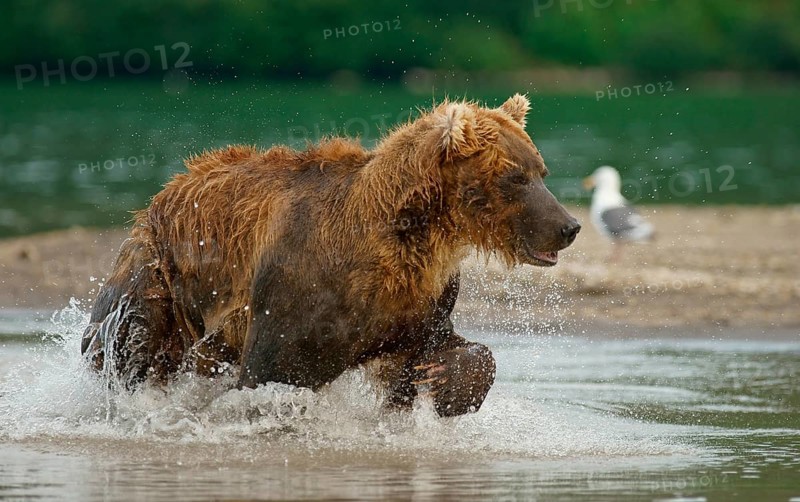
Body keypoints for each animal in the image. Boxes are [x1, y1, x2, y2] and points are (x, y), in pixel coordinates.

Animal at [81, 94, 581, 417]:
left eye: (541, 170)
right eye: (516, 177)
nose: (569, 226)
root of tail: (165, 190)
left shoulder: (417, 299)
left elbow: (442, 349)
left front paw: (443, 378)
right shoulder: (300, 292)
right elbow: (273, 375)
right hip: (159, 274)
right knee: (131, 344)